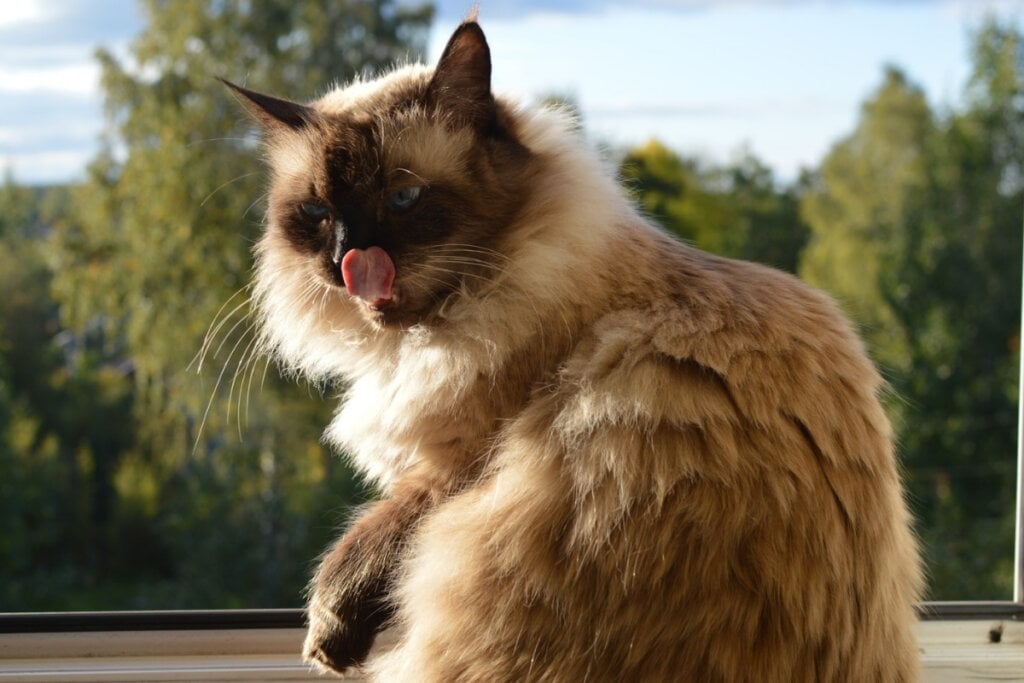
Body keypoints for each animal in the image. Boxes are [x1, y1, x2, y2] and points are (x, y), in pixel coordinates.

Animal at [228, 15, 925, 683]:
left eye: (403, 198)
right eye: (316, 212)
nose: (347, 258)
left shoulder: (449, 472)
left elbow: (364, 545)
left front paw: (326, 637)